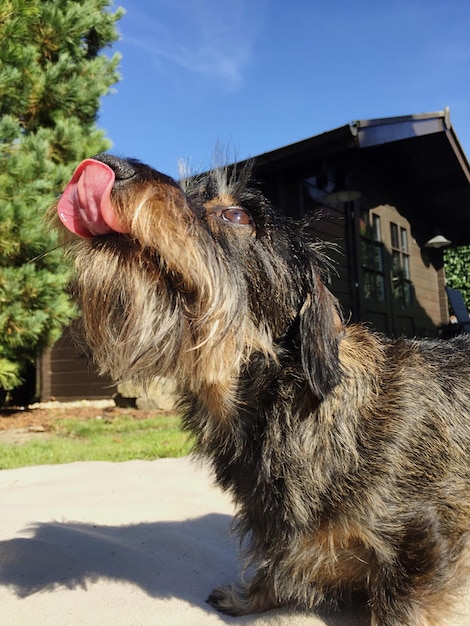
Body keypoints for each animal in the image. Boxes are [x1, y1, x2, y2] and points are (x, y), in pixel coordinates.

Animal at [50, 152, 470, 624]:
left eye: (237, 215)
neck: (287, 407)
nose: (109, 163)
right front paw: (251, 597)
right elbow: (275, 565)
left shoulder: (424, 538)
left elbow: (400, 607)